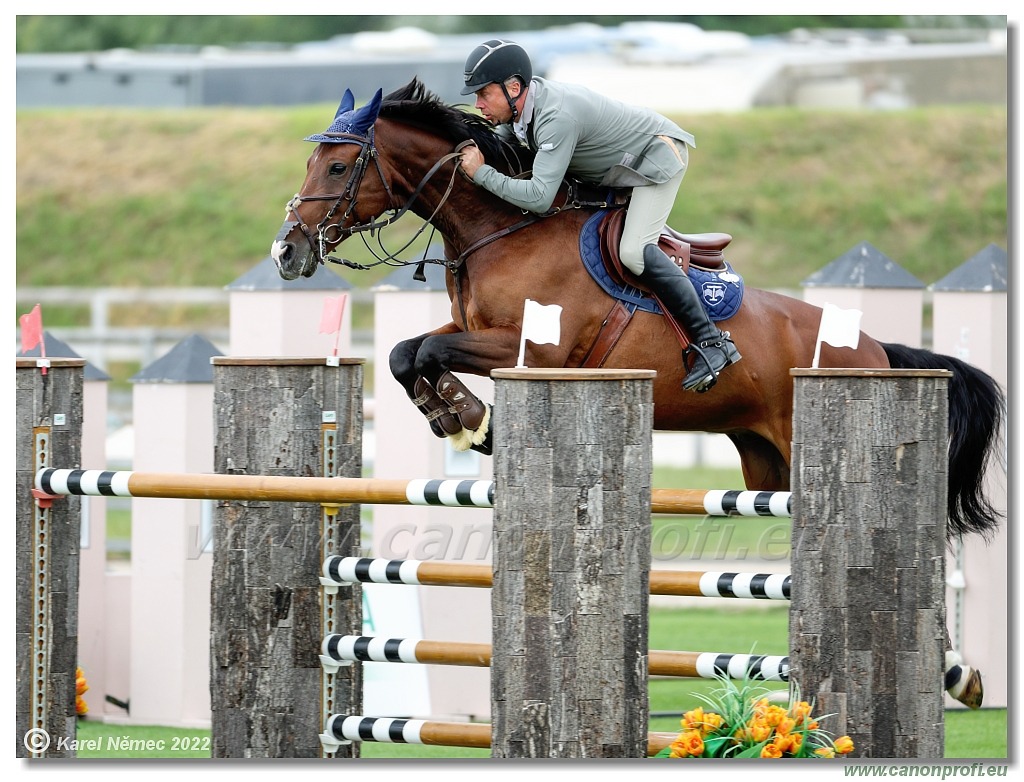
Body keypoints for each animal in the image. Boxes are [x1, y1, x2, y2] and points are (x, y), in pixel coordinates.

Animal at [268, 79, 1003, 708]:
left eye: (338, 168)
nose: (286, 252)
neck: (501, 230)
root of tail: (876, 348)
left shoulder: (534, 351)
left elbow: (427, 351)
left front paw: (473, 419)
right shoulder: (473, 330)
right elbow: (405, 352)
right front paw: (456, 417)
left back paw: (956, 674)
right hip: (768, 466)